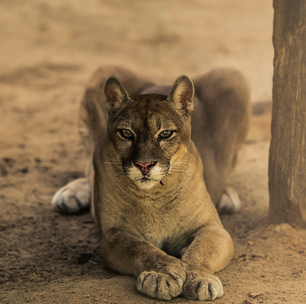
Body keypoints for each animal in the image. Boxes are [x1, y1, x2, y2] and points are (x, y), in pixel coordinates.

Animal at [51, 65, 250, 300]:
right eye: (126, 133)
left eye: (165, 134)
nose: (144, 165)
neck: (155, 195)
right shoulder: (113, 236)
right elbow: (140, 248)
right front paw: (162, 273)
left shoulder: (213, 229)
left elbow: (201, 250)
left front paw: (199, 277)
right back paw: (71, 193)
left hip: (231, 78)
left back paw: (227, 196)